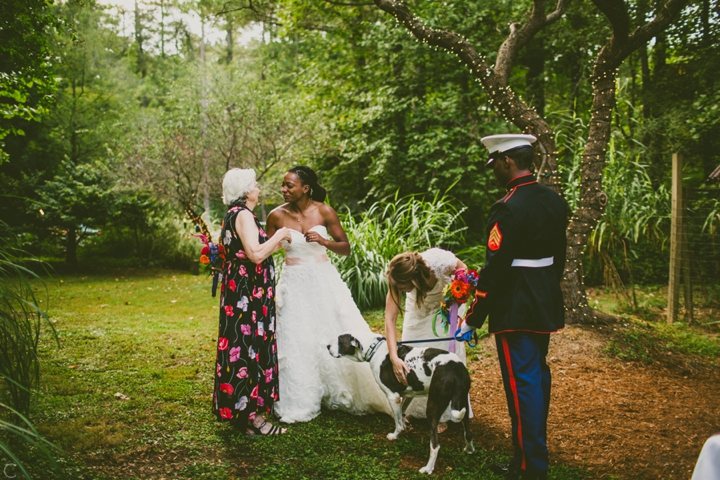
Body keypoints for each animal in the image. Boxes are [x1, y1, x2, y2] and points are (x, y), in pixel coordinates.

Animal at [330, 330, 476, 472]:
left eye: (339, 341)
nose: (327, 346)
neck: (374, 348)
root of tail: (456, 370)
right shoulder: (409, 393)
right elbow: (402, 412)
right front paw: (405, 424)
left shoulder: (392, 396)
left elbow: (397, 421)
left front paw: (395, 435)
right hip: (463, 403)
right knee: (468, 433)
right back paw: (469, 449)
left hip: (433, 406)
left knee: (435, 445)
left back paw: (428, 468)